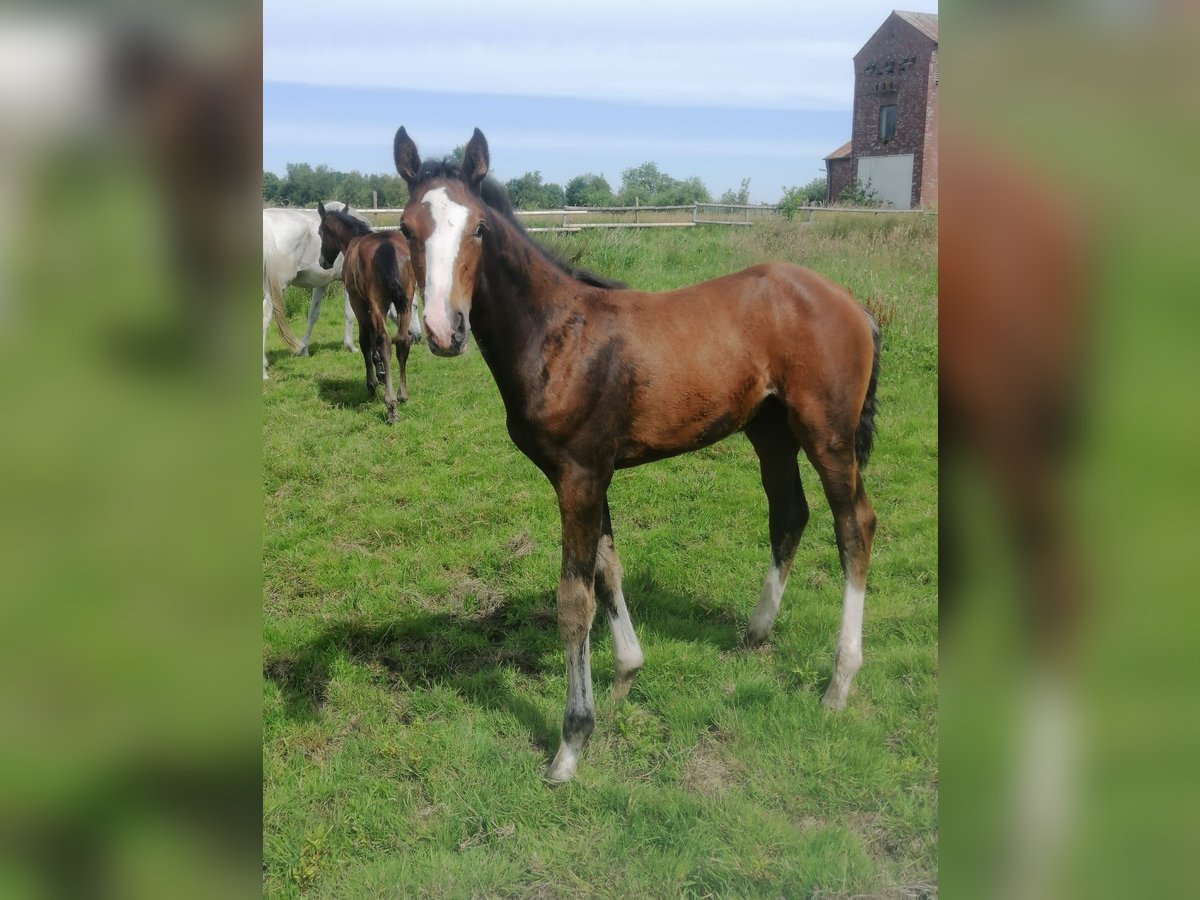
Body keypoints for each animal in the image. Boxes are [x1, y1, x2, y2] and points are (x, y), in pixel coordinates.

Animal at [316, 204, 420, 427]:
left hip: (376, 301)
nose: (323, 262)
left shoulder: (358, 300)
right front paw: (380, 371)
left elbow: (365, 339)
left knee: (384, 340)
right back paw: (402, 394)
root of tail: (387, 246)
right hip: (405, 300)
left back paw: (391, 406)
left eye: (320, 232)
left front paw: (372, 381)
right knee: (402, 340)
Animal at [393, 127, 883, 782]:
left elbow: (573, 600)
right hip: (771, 431)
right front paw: (626, 675)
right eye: (406, 228)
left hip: (826, 432)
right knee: (789, 514)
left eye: (477, 228)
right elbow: (608, 570)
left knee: (854, 525)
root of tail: (853, 305)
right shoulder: (589, 475)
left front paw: (571, 743)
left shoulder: (577, 476)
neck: (556, 335)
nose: (445, 329)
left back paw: (838, 682)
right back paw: (755, 633)